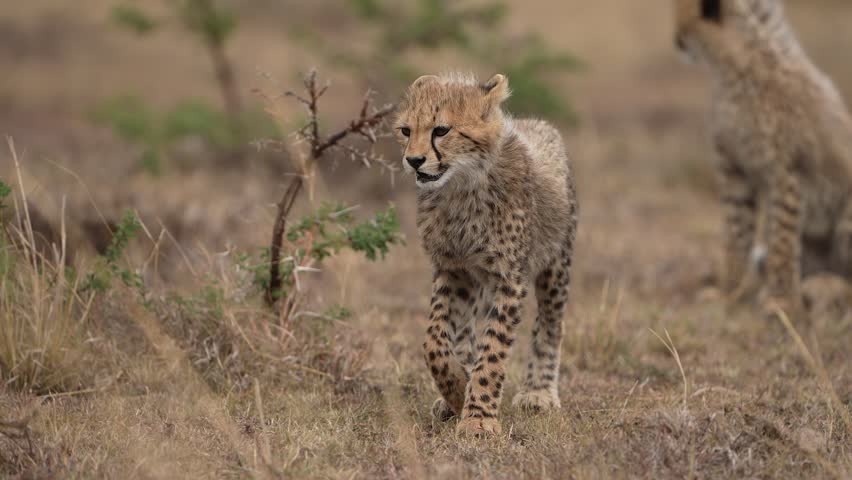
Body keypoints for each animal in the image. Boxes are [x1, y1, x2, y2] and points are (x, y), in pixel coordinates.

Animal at [394, 73, 579, 436]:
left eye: (441, 130)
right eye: (406, 131)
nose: (414, 160)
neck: (462, 186)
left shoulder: (509, 278)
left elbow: (492, 351)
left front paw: (478, 418)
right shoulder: (453, 269)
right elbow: (434, 341)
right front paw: (455, 389)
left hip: (555, 264)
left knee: (550, 324)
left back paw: (538, 392)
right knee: (465, 330)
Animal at [673, 0, 852, 320]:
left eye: (682, 18)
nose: (676, 39)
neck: (736, 68)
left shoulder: (786, 172)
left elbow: (782, 241)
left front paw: (780, 302)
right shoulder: (733, 171)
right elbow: (737, 235)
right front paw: (731, 294)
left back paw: (828, 290)